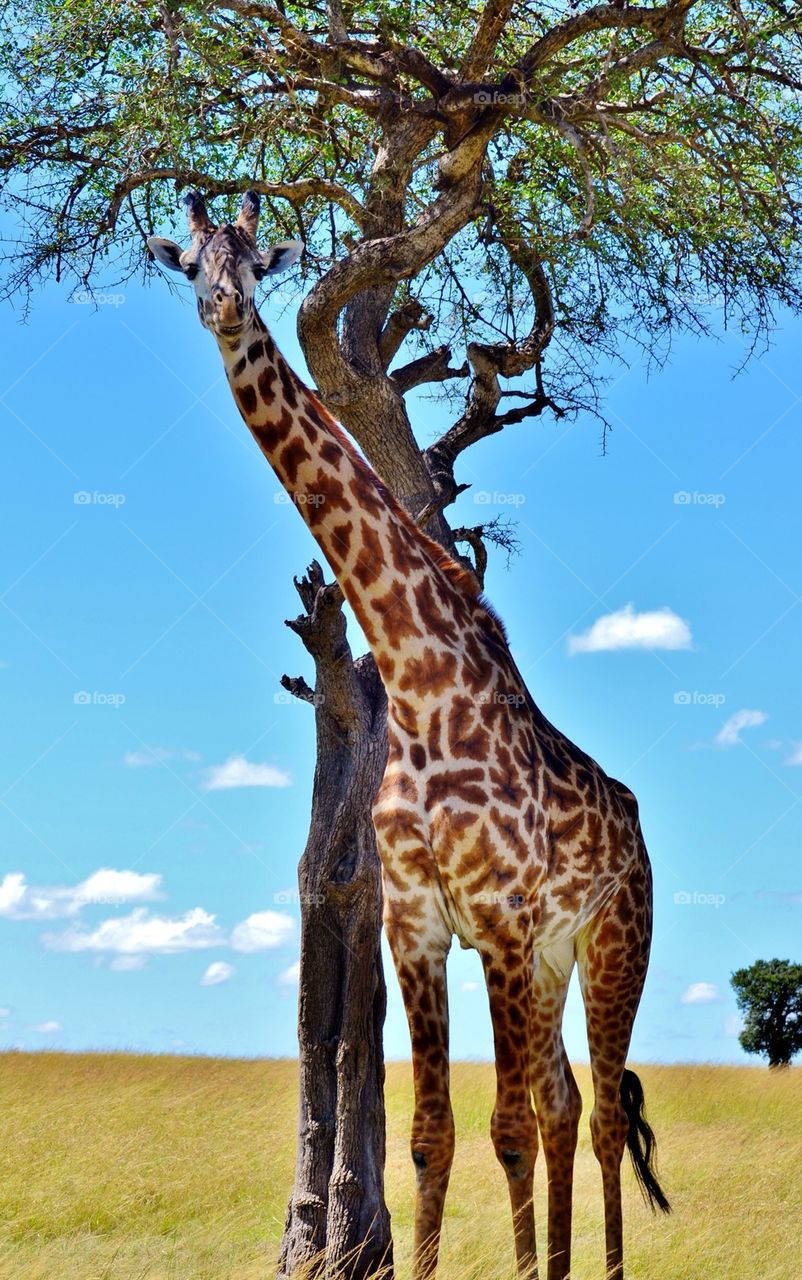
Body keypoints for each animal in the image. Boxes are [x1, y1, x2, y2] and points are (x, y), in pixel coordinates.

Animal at [148, 191, 670, 1280]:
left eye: (253, 263)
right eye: (190, 265)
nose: (223, 309)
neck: (422, 679)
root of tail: (639, 828)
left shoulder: (498, 916)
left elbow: (503, 1128)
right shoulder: (421, 920)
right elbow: (434, 1134)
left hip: (615, 941)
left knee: (600, 1113)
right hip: (550, 958)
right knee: (565, 1104)